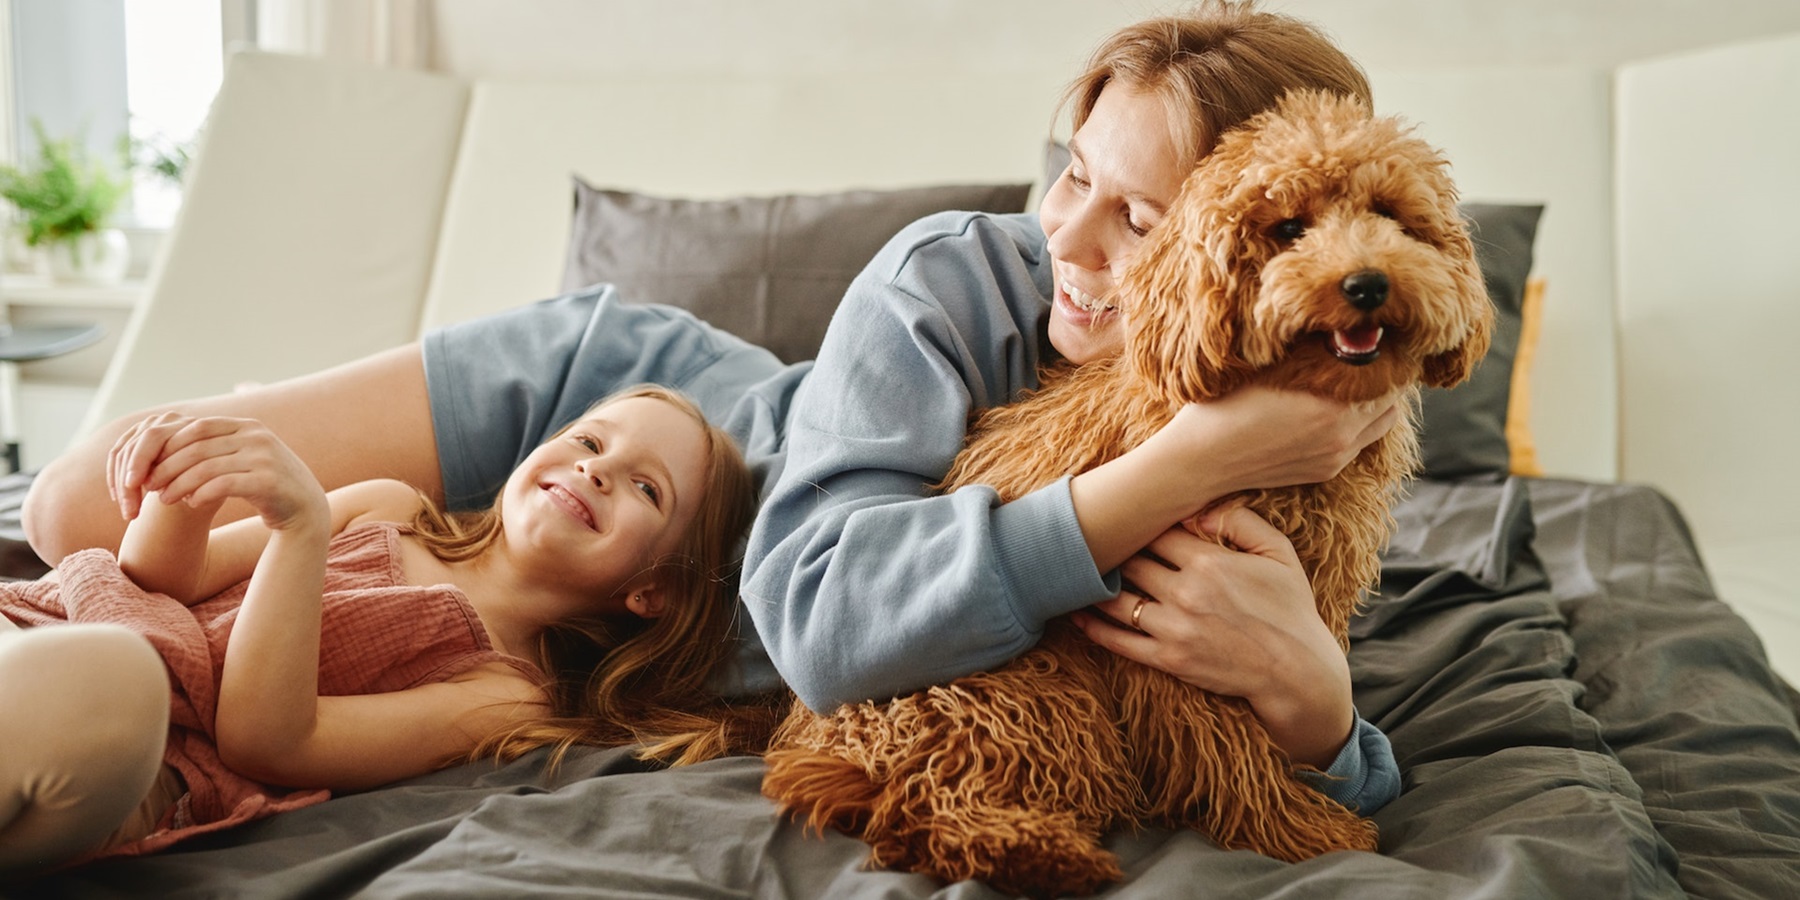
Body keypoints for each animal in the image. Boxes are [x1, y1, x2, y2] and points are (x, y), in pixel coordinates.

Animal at [759, 93, 1490, 900]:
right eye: (1288, 229)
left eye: (1390, 216)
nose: (1367, 284)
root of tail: (823, 746)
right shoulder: (1174, 643)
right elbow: (1230, 750)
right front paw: (1300, 831)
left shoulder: (1302, 606)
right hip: (1028, 692)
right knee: (918, 811)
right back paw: (1037, 852)